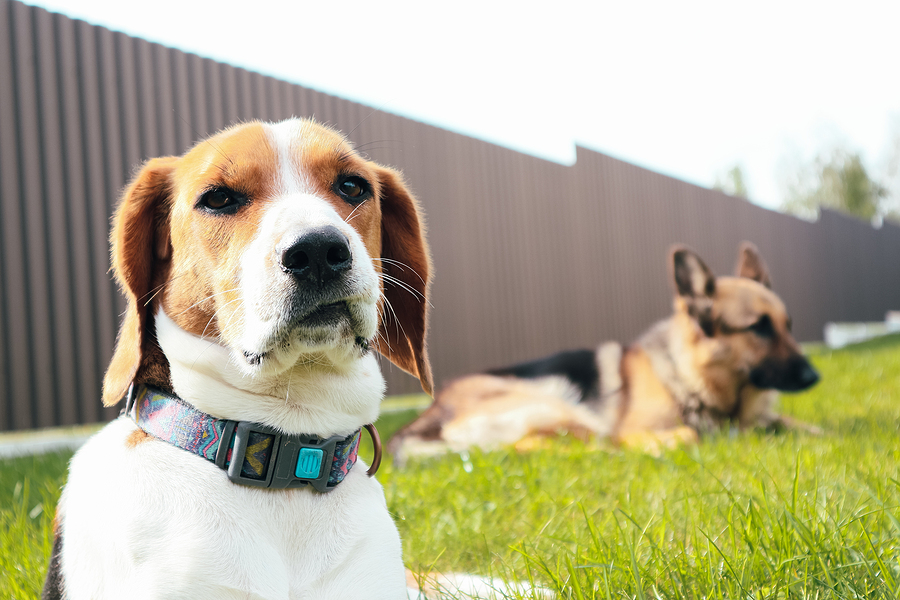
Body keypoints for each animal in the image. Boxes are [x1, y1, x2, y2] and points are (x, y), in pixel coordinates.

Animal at [390, 241, 820, 462]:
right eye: (758, 328)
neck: (689, 377)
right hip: (558, 402)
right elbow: (690, 433)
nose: (814, 377)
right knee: (596, 441)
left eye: (788, 325)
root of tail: (431, 411)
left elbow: (801, 425)